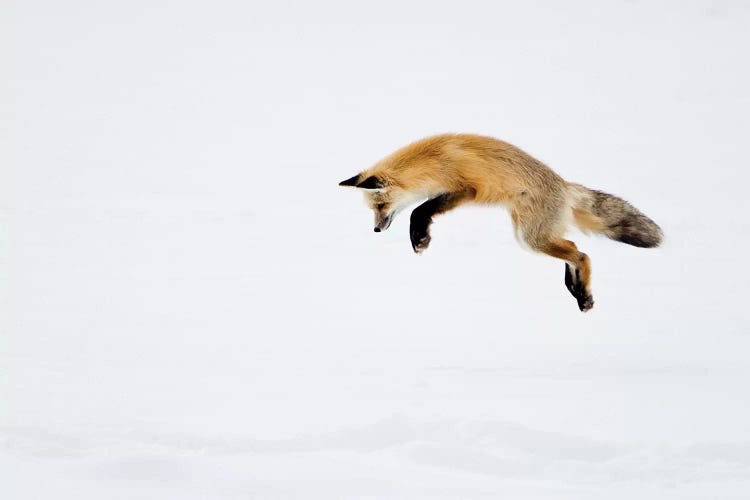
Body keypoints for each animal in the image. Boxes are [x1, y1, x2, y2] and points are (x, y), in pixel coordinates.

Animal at [340, 133, 664, 312]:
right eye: (373, 210)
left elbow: (419, 211)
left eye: (380, 206)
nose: (376, 229)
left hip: (531, 237)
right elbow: (420, 210)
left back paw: (581, 292)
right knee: (573, 248)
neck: (432, 160)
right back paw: (577, 290)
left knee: (581, 254)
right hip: (532, 236)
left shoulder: (465, 189)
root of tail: (564, 185)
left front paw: (420, 238)